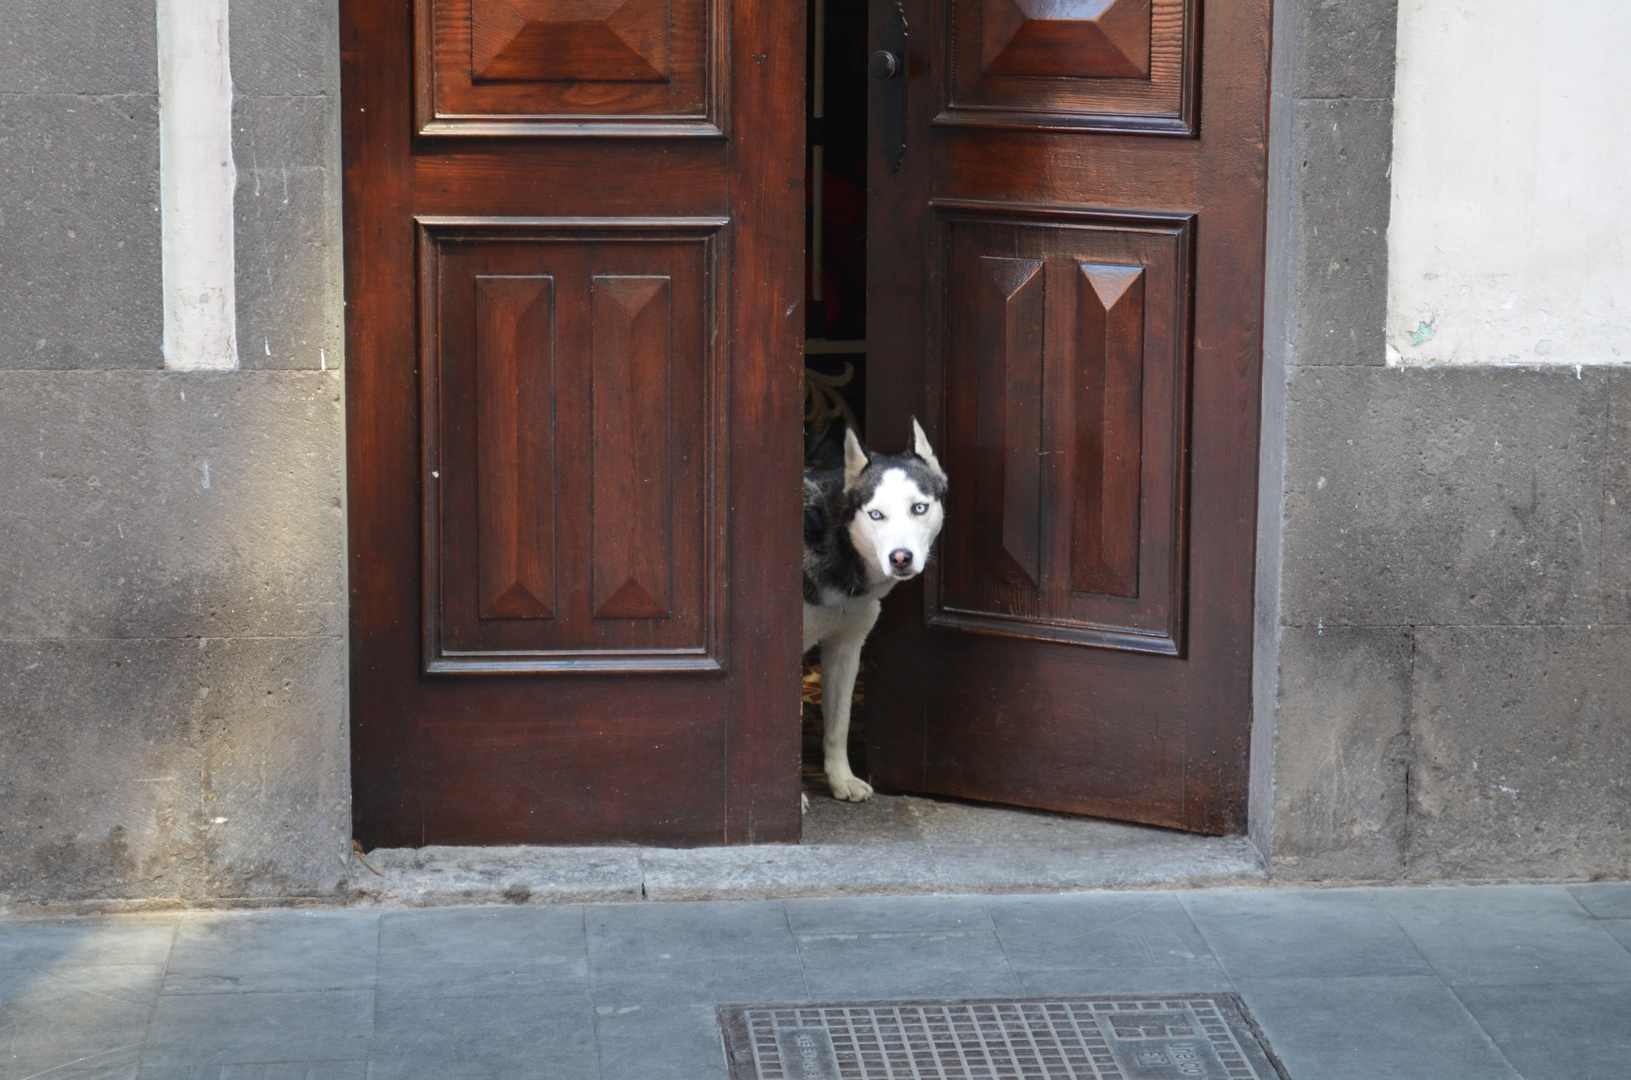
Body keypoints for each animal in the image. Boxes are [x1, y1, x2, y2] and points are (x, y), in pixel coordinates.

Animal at [799, 420, 945, 802]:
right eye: (876, 514)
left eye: (919, 508)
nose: (900, 558)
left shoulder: (846, 646)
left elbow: (839, 723)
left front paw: (841, 779)